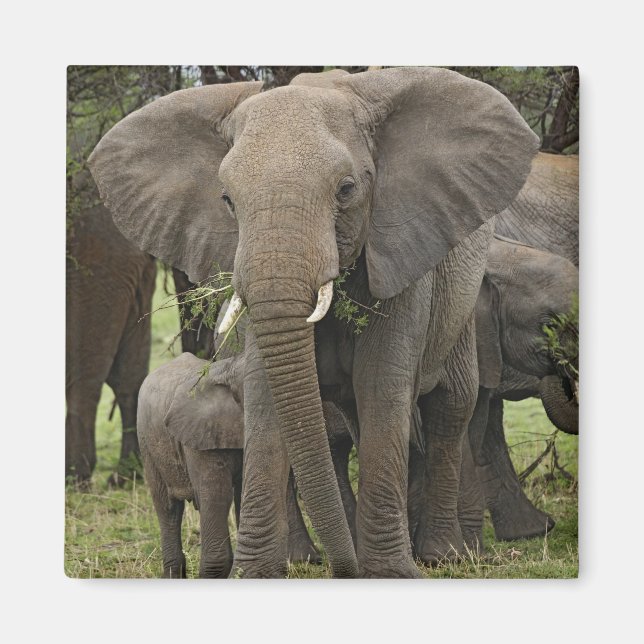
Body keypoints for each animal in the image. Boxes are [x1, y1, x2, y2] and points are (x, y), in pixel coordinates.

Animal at [138, 351, 357, 577]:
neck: (228, 370)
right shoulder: (198, 436)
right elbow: (216, 494)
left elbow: (244, 491)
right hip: (146, 441)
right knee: (168, 507)